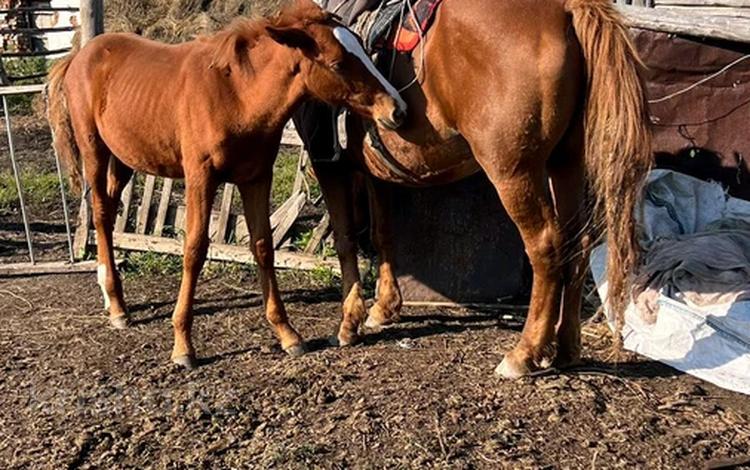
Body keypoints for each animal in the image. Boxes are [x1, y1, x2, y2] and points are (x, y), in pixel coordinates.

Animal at [46, 0, 406, 368]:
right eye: (337, 63)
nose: (397, 109)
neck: (235, 95)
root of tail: (79, 56)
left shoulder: (256, 178)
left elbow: (263, 246)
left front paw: (287, 333)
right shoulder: (200, 178)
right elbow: (194, 249)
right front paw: (183, 345)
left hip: (125, 159)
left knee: (107, 208)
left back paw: (112, 298)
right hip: (94, 150)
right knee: (101, 213)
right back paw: (118, 307)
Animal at [300, 0, 652, 378]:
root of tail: (565, 8)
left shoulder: (328, 163)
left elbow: (345, 239)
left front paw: (349, 322)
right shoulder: (375, 172)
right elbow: (383, 234)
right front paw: (385, 307)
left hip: (514, 172)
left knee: (545, 247)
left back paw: (524, 353)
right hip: (566, 163)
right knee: (578, 244)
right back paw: (566, 348)